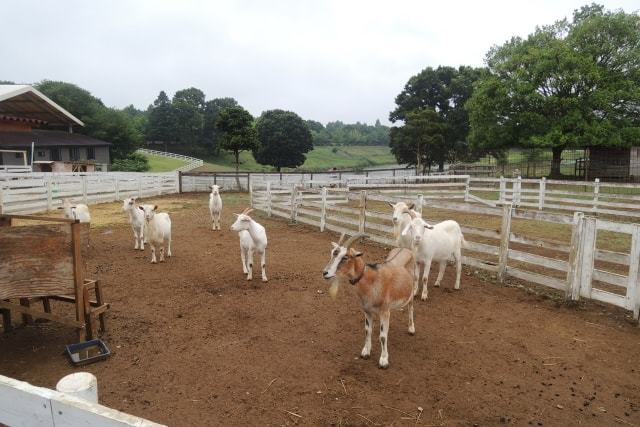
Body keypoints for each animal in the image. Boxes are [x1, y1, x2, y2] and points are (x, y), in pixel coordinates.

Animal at [320, 234, 416, 368]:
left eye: (345, 257)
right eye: (332, 253)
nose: (325, 273)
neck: (372, 281)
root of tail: (406, 249)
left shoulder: (384, 311)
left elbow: (383, 336)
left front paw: (384, 360)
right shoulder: (367, 311)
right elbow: (367, 330)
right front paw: (366, 351)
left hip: (412, 288)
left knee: (411, 306)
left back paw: (411, 328)